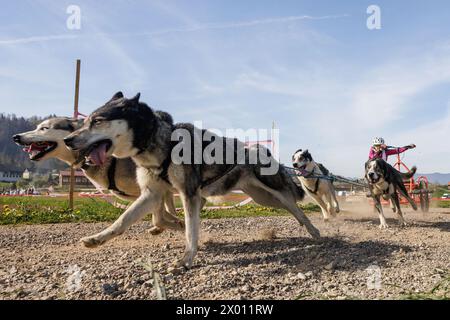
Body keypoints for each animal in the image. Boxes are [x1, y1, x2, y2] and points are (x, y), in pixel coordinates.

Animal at [13, 116, 183, 234]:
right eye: (38, 127)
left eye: (44, 128)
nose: (16, 137)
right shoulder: (156, 193)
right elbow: (166, 213)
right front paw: (173, 224)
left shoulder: (156, 190)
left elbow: (161, 216)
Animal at [65, 92, 322, 270]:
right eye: (85, 121)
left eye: (98, 121)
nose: (68, 140)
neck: (162, 143)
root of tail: (262, 150)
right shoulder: (152, 194)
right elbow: (122, 221)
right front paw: (97, 239)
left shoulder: (188, 194)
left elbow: (190, 230)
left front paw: (186, 259)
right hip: (262, 199)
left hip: (275, 193)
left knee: (298, 209)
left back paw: (315, 231)